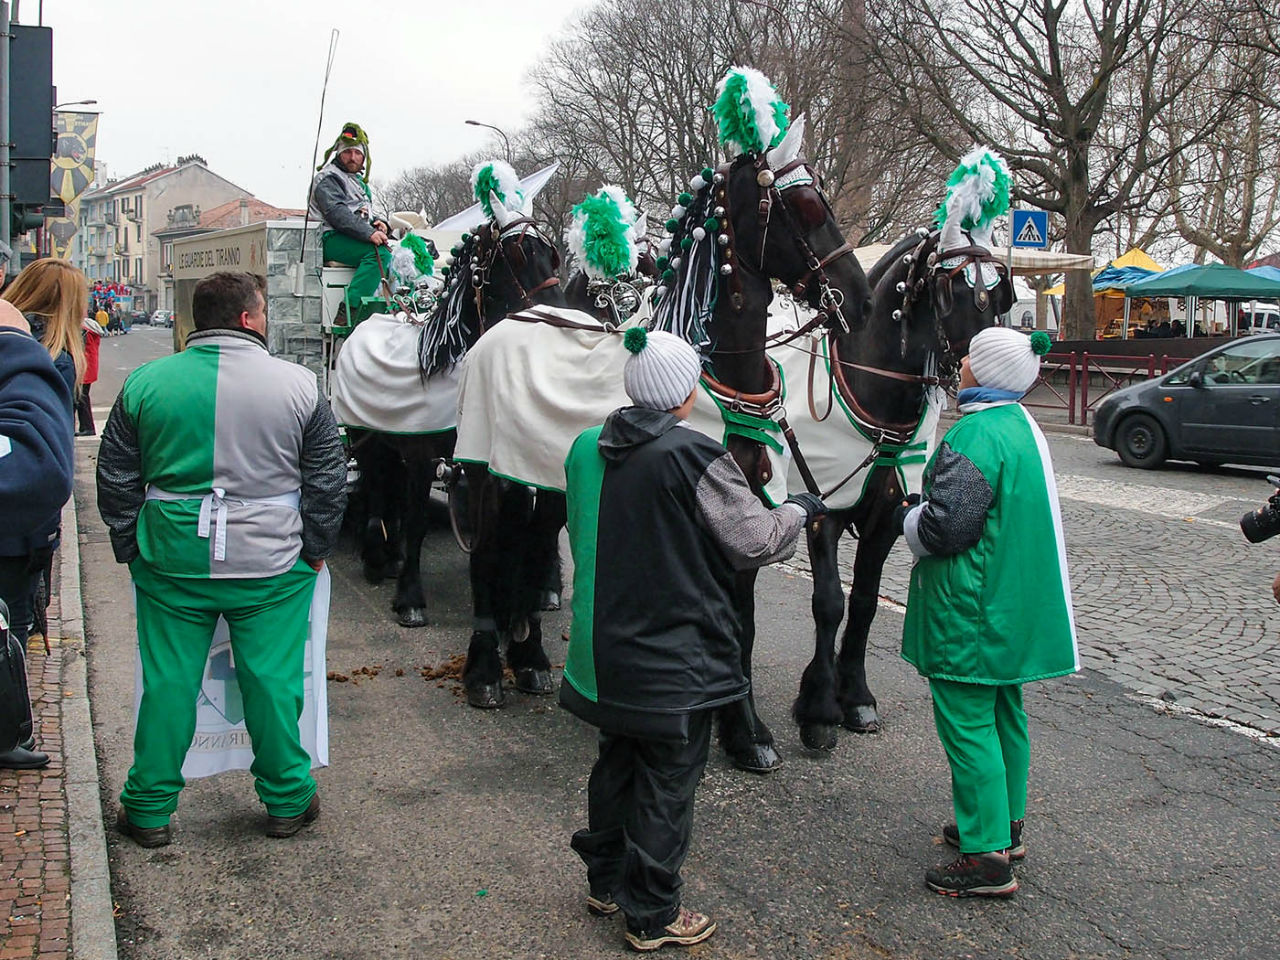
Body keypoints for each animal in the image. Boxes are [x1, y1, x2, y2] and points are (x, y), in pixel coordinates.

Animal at [783, 221, 1013, 757]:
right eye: (952, 290)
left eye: (999, 293)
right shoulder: (823, 510)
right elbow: (830, 602)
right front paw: (819, 709)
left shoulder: (887, 519)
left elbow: (865, 603)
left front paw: (855, 697)